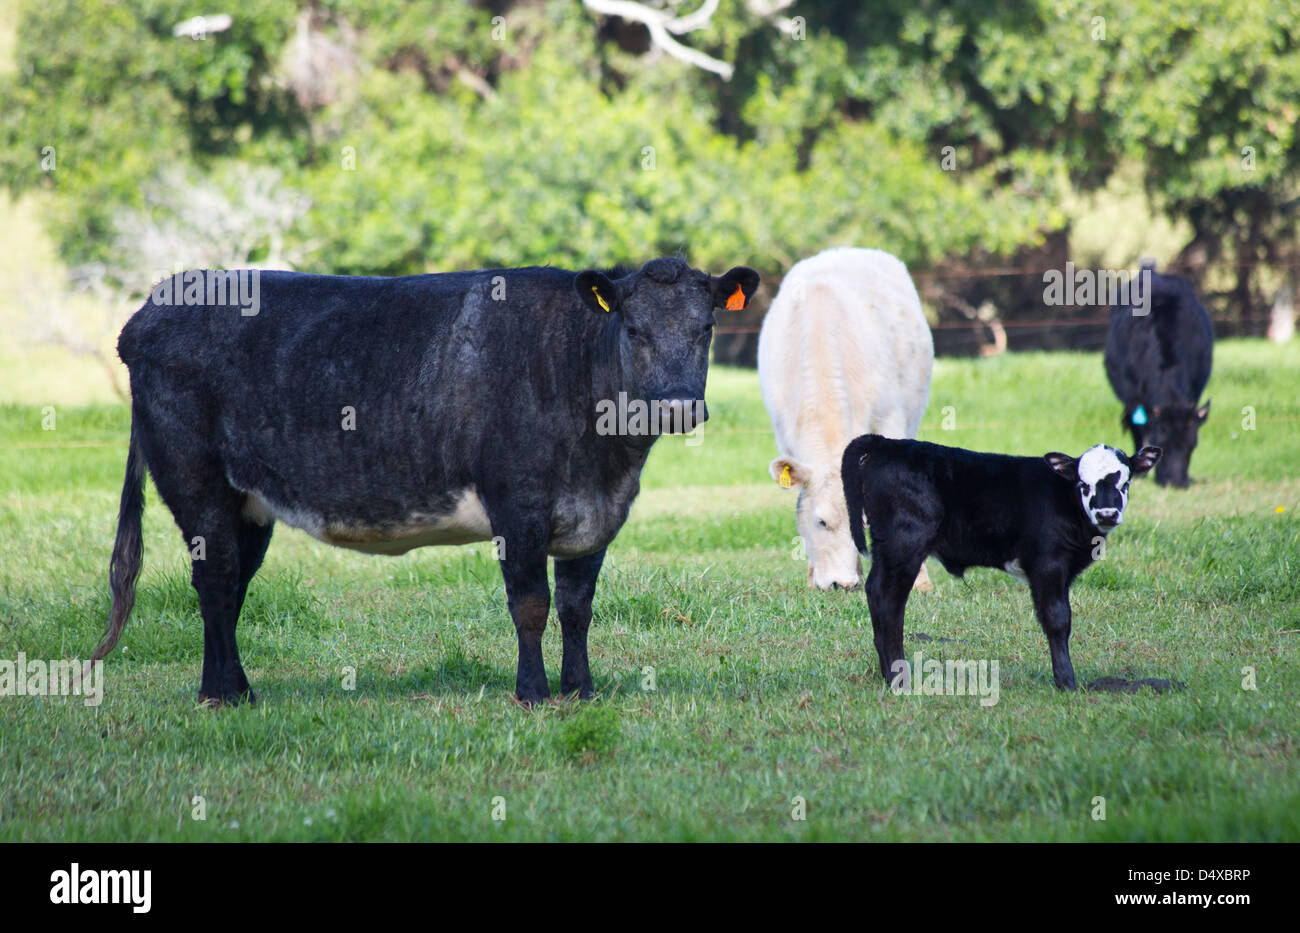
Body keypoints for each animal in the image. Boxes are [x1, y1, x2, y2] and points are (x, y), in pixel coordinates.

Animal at [96, 257, 759, 706]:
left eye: (705, 330)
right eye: (635, 330)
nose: (677, 406)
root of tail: (154, 305)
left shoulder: (591, 518)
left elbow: (577, 608)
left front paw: (582, 690)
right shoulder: (517, 506)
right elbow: (531, 605)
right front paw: (533, 693)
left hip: (250, 503)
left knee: (231, 585)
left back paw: (231, 686)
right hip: (196, 480)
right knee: (214, 582)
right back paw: (225, 694)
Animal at [837, 434, 1164, 691]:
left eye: (1126, 482)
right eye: (1083, 484)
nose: (1107, 513)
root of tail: (887, 443)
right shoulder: (1047, 564)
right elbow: (1057, 619)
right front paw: (1066, 682)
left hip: (886, 547)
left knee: (874, 590)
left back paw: (887, 673)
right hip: (906, 544)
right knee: (890, 600)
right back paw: (899, 679)